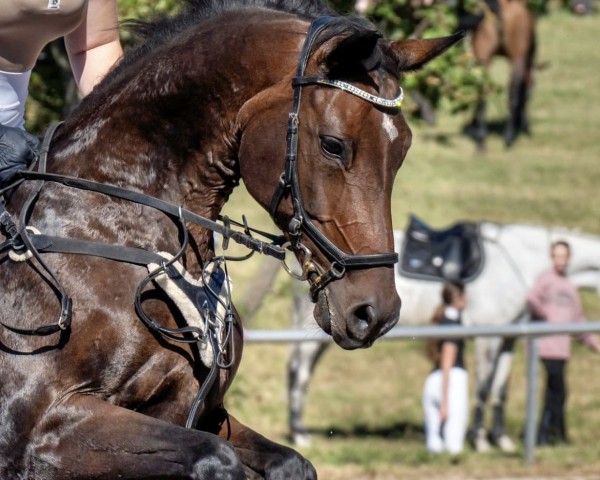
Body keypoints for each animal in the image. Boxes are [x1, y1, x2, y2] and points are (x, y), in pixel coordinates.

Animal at [0, 0, 464, 480]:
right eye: (333, 145)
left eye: (402, 151)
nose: (375, 313)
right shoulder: (37, 430)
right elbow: (215, 458)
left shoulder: (202, 412)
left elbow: (289, 463)